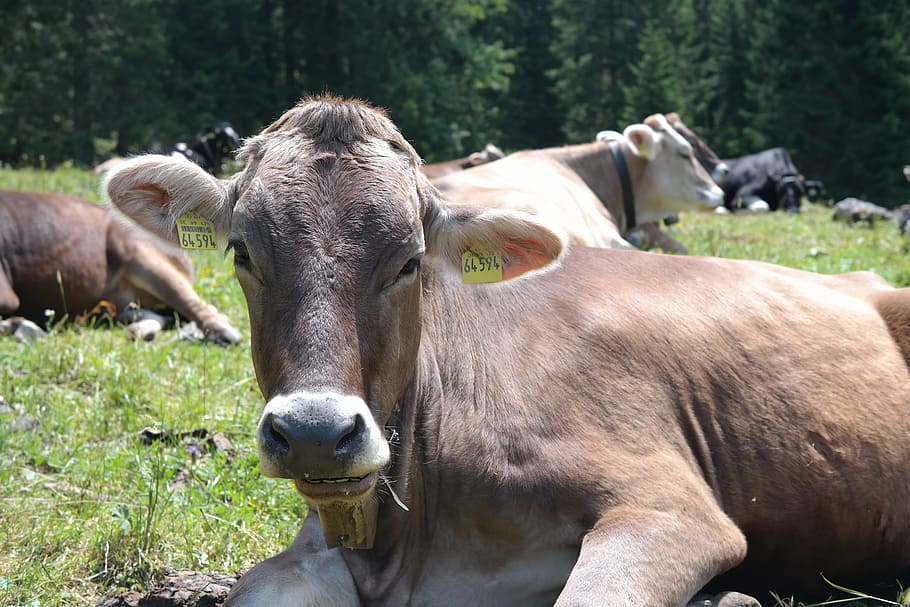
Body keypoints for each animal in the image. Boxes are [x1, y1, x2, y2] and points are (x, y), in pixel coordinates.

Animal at [0, 189, 241, 344]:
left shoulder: (7, 296)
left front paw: (18, 325)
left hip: (141, 255)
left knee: (205, 310)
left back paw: (225, 333)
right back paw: (138, 327)